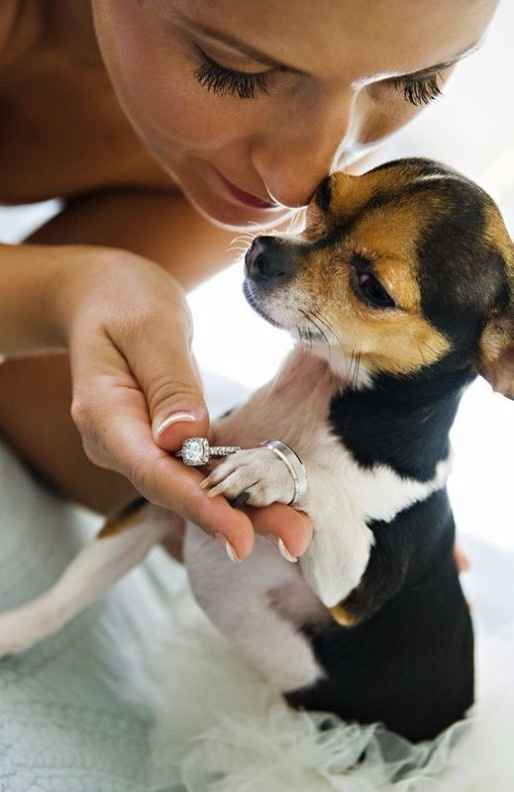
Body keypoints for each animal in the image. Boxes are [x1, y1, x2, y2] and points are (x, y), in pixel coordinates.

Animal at [1, 159, 512, 744]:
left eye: (373, 288)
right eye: (324, 194)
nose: (262, 250)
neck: (314, 401)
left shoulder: (352, 590)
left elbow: (324, 489)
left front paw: (271, 468)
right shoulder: (155, 512)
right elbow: (69, 592)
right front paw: (11, 632)